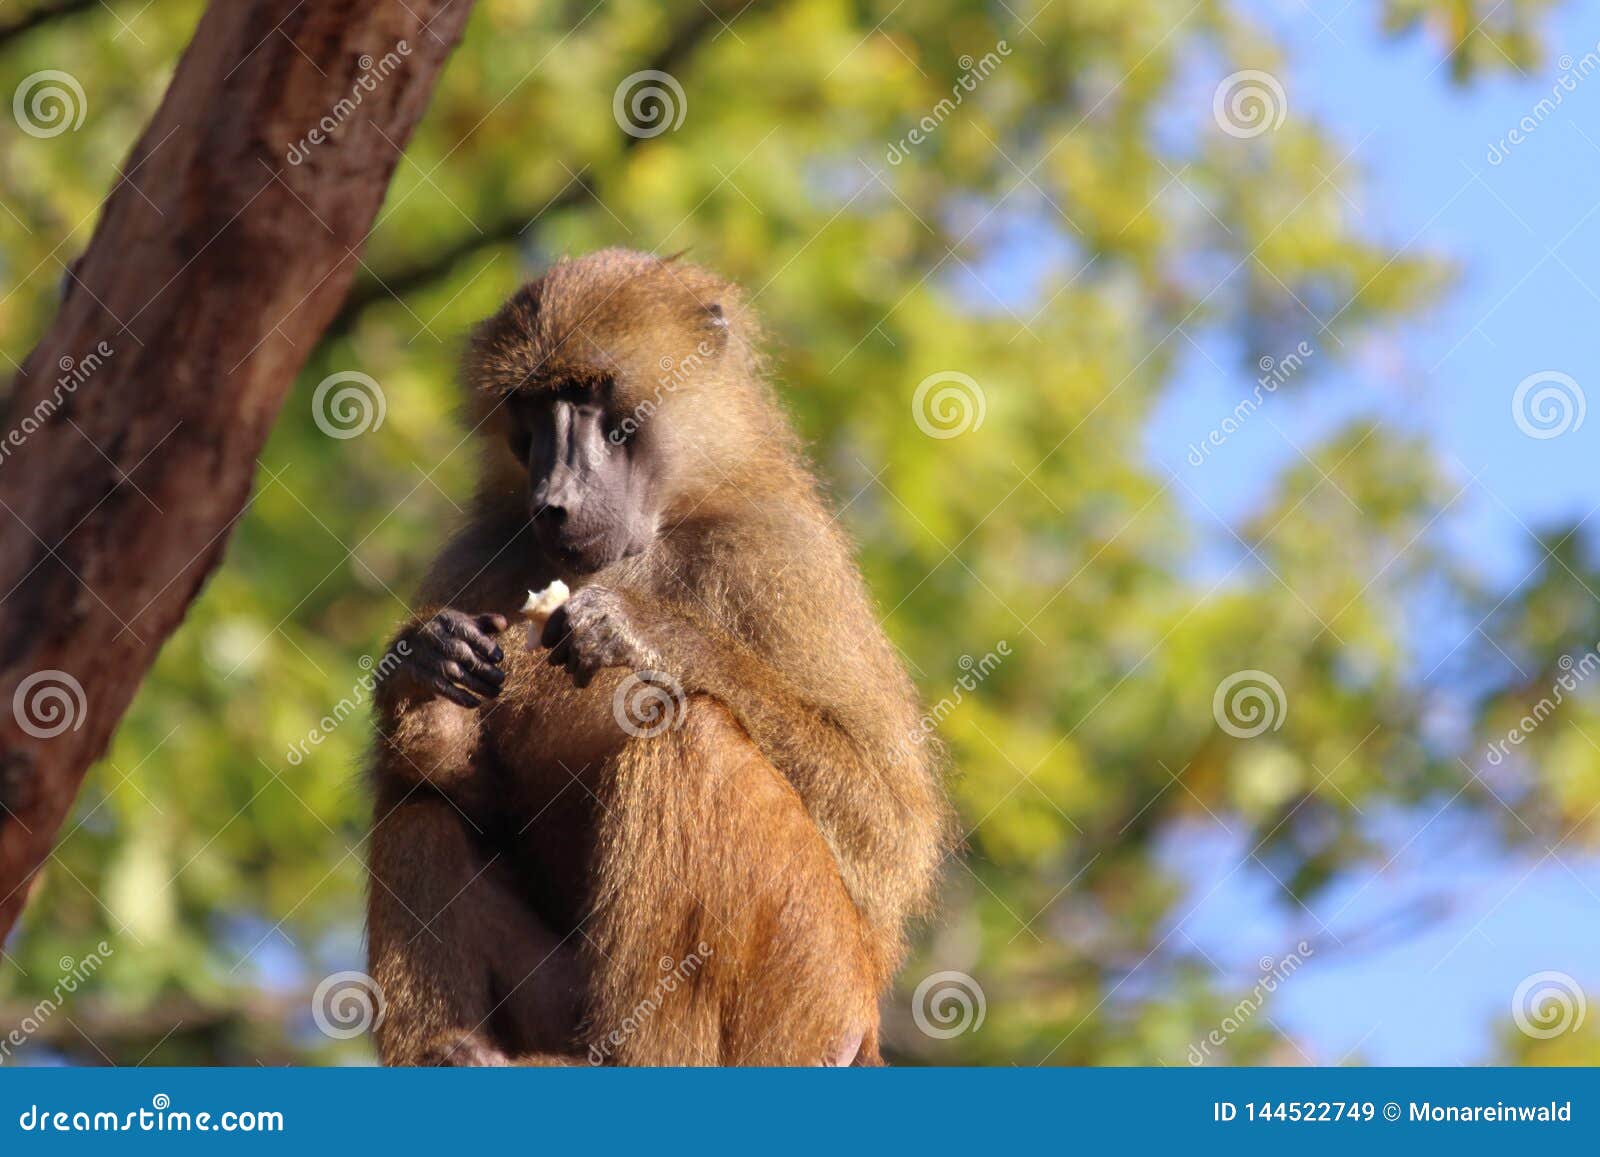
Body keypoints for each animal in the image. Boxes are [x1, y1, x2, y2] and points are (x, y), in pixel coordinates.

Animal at [365, 248, 952, 1066]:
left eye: (589, 398)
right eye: (530, 408)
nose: (553, 500)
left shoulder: (778, 552)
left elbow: (890, 830)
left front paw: (646, 632)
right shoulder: (477, 554)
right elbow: (460, 789)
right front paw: (426, 659)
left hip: (813, 992)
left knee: (689, 735)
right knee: (417, 806)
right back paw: (451, 1052)